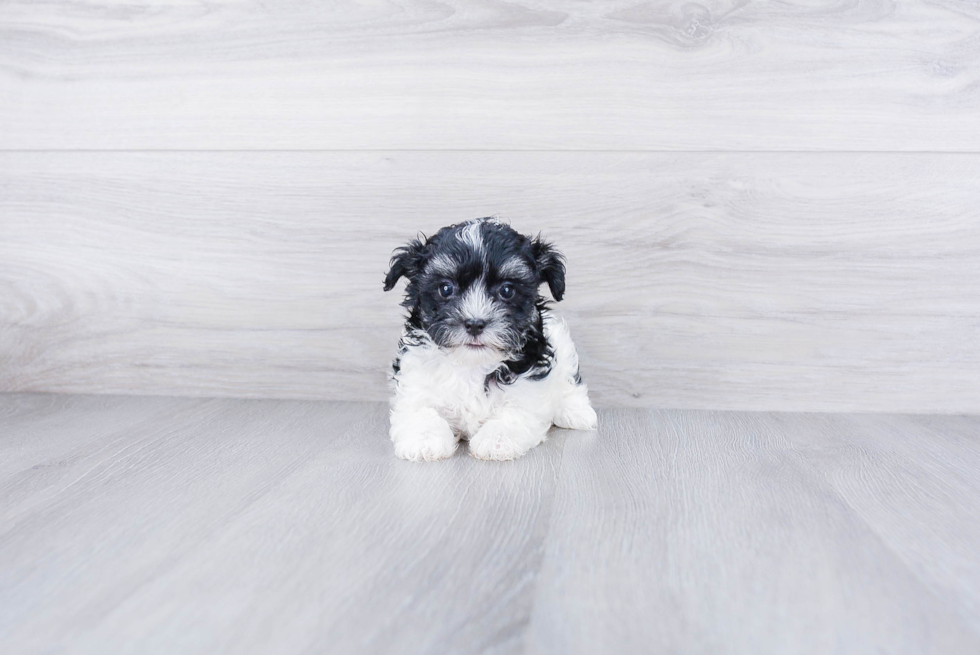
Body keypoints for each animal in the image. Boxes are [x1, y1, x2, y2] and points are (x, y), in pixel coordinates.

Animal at [382, 217, 596, 462]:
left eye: (507, 290)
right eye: (446, 288)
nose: (475, 323)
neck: (472, 364)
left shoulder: (529, 389)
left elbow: (515, 413)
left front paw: (497, 440)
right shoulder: (415, 384)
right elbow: (420, 410)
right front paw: (424, 440)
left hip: (561, 339)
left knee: (570, 380)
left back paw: (576, 411)